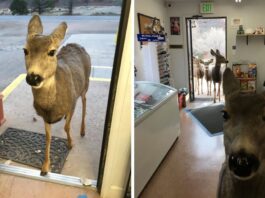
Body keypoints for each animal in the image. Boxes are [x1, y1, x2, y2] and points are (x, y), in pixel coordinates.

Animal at [23, 15, 91, 176]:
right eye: (25, 50)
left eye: (52, 52)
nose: (33, 77)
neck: (51, 106)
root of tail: (76, 44)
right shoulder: (45, 116)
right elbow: (48, 137)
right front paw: (45, 168)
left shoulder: (72, 103)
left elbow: (66, 127)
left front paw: (70, 144)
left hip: (85, 84)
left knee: (84, 100)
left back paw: (82, 130)